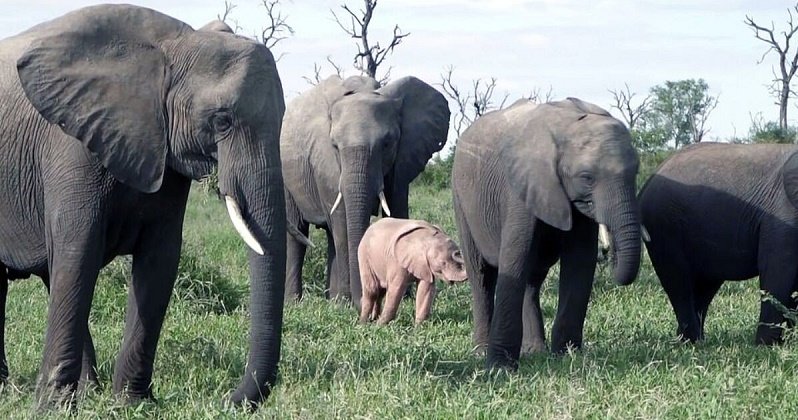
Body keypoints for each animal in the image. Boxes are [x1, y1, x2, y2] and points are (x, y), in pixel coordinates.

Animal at [0, 4, 288, 408]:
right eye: (222, 120)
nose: (227, 398)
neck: (176, 46)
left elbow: (160, 259)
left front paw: (131, 403)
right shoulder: (70, 147)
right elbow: (78, 252)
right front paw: (54, 407)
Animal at [282, 75, 454, 306]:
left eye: (387, 143)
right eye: (334, 146)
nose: (366, 297)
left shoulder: (402, 160)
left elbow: (398, 211)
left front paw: (403, 297)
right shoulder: (326, 163)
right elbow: (341, 220)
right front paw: (347, 303)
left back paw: (332, 299)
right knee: (299, 235)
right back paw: (297, 302)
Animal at [454, 97, 648, 368]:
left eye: (636, 172)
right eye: (586, 177)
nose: (609, 251)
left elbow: (580, 262)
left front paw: (567, 355)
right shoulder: (520, 188)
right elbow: (514, 258)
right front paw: (499, 367)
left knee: (531, 279)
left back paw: (535, 350)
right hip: (461, 200)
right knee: (481, 275)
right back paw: (481, 351)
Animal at [640, 143, 798, 346]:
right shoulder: (783, 214)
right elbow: (778, 270)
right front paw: (766, 346)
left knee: (705, 286)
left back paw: (694, 341)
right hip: (663, 223)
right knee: (678, 282)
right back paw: (691, 342)